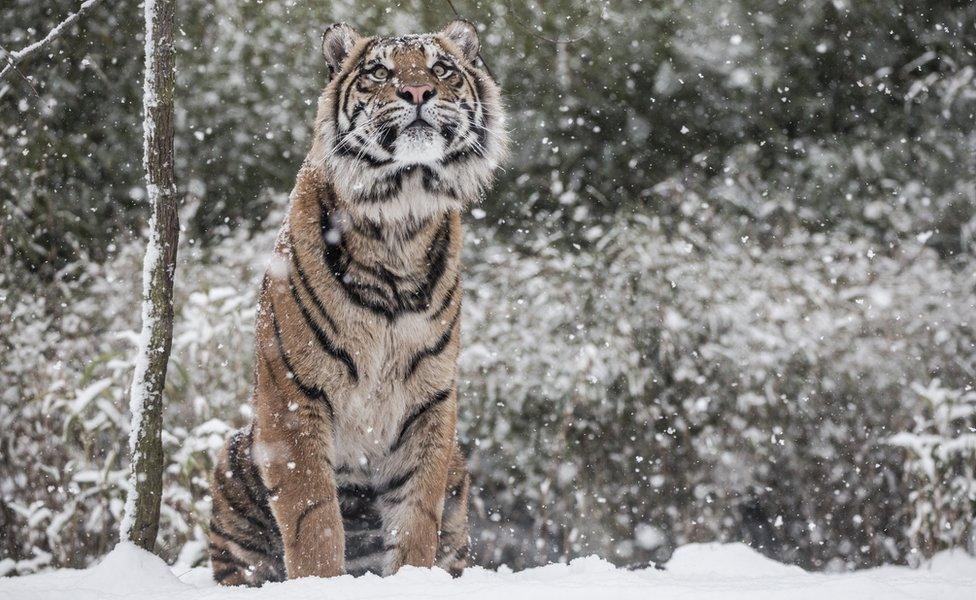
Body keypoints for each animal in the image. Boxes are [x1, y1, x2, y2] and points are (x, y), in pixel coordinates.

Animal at [207, 19, 510, 584]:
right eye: (379, 72)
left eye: (441, 68)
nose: (418, 92)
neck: (399, 219)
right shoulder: (294, 400)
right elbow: (315, 520)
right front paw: (319, 581)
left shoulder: (428, 404)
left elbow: (416, 519)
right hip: (236, 458)